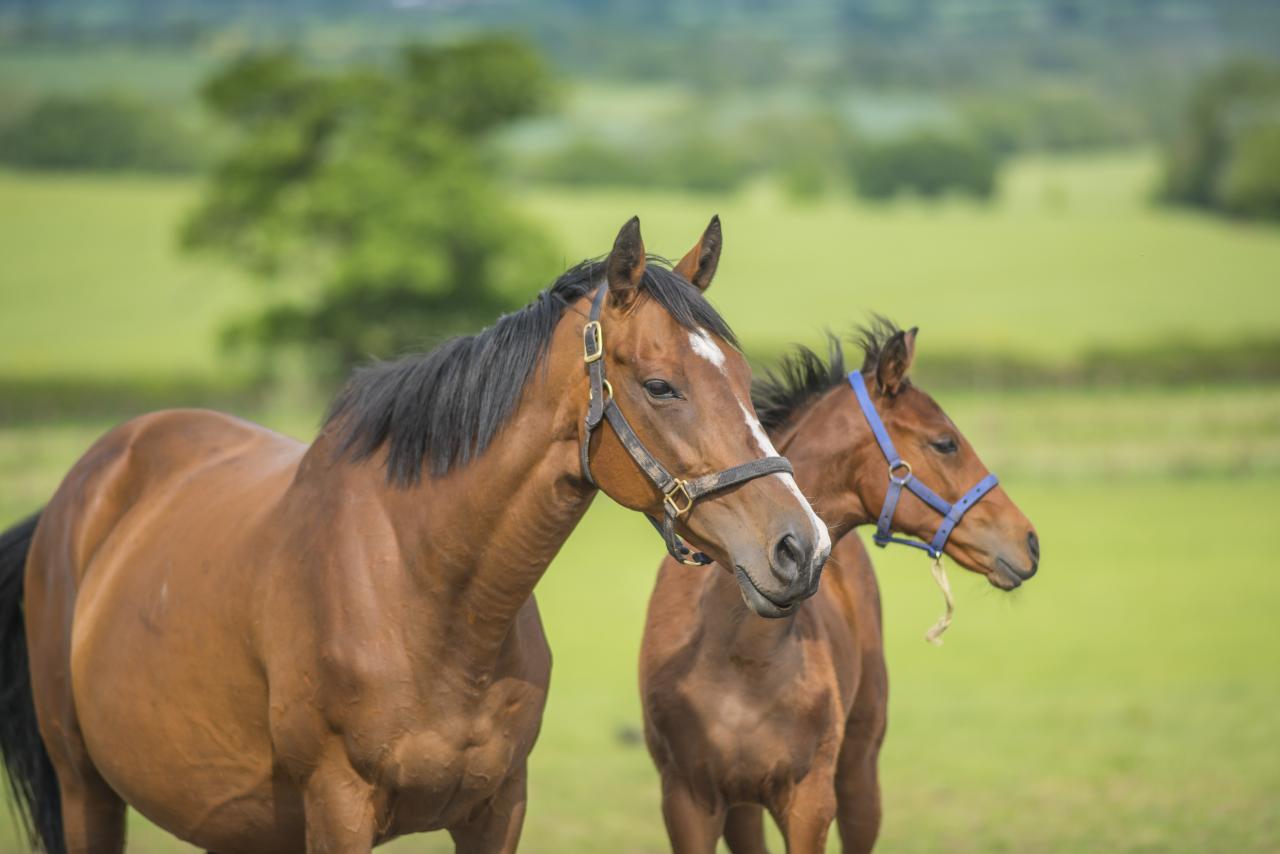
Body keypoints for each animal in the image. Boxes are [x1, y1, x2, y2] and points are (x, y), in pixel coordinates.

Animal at [0, 216, 831, 854]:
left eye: (743, 378)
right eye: (662, 385)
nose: (802, 547)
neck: (424, 592)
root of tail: (83, 487)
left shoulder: (497, 810)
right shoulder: (338, 809)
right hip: (85, 789)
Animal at [639, 320, 1040, 854]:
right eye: (945, 443)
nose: (1029, 541)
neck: (737, 652)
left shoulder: (811, 801)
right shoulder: (687, 802)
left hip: (859, 775)